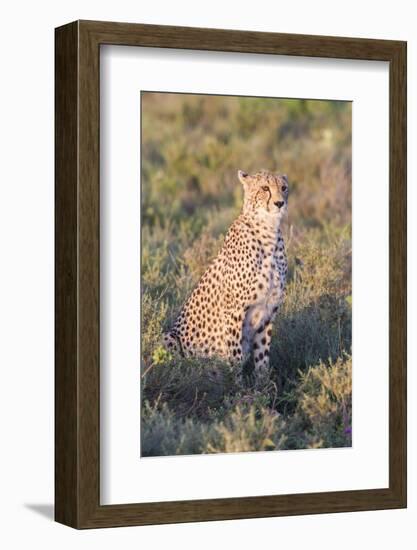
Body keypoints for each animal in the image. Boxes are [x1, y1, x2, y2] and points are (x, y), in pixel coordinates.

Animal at [163, 169, 290, 384]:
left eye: (284, 187)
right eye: (265, 188)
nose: (279, 203)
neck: (268, 231)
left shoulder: (268, 311)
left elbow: (262, 357)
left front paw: (263, 387)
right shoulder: (234, 311)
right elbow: (235, 356)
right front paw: (237, 388)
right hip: (169, 337)